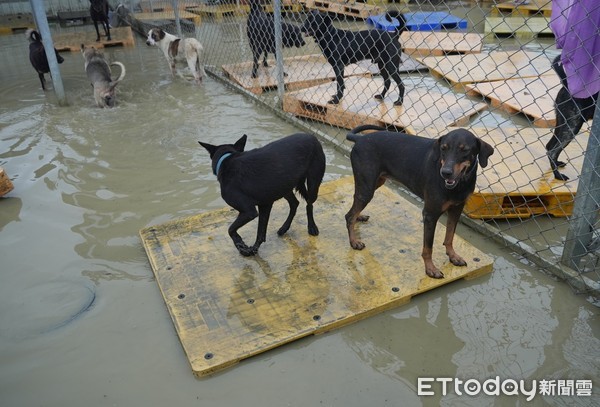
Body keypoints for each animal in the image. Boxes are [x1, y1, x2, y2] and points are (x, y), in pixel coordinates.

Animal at [344, 125, 494, 278]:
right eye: (443, 148)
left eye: (465, 150)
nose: (445, 172)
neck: (459, 184)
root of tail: (360, 139)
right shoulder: (430, 214)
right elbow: (428, 247)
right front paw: (430, 269)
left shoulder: (456, 209)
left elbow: (450, 236)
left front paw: (453, 256)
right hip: (367, 188)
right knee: (349, 215)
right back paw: (354, 241)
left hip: (376, 183)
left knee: (354, 207)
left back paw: (359, 216)